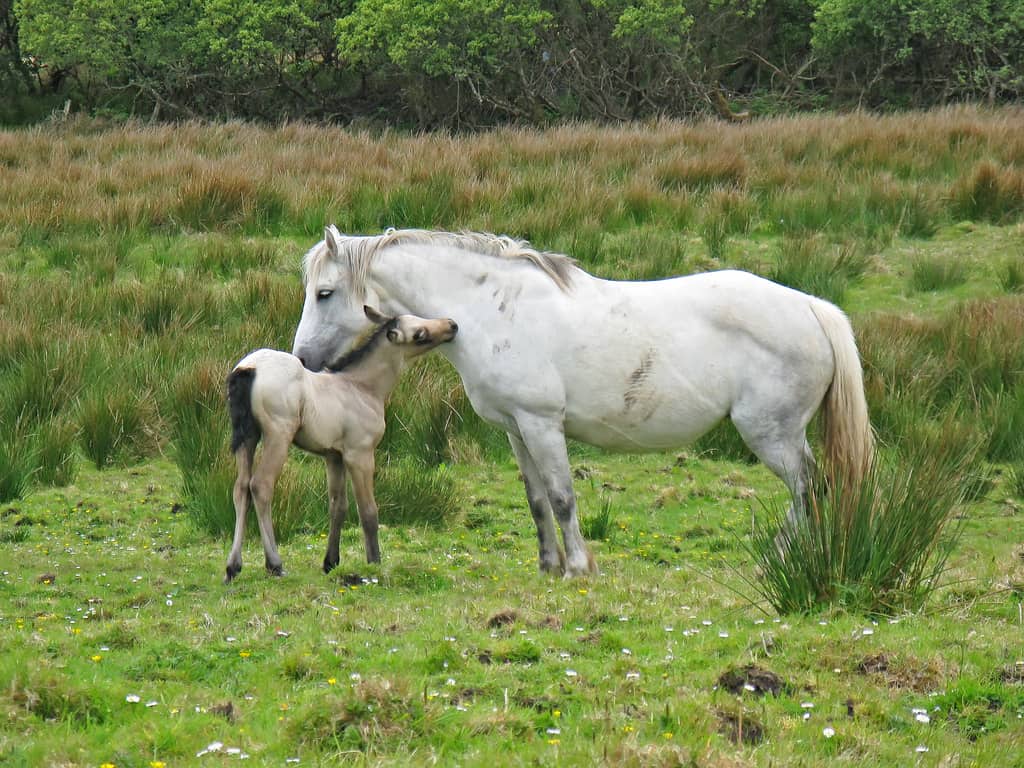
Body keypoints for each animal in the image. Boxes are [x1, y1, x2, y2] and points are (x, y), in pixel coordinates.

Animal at [224, 305, 459, 583]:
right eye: (419, 334)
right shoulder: (360, 454)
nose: (452, 325)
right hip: (278, 435)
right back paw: (274, 564)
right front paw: (374, 563)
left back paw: (233, 566)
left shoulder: (333, 455)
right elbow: (368, 511)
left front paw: (331, 562)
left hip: (247, 437)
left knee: (240, 488)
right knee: (260, 485)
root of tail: (249, 368)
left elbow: (338, 505)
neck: (361, 387)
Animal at [292, 227, 873, 578]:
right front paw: (548, 565)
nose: (303, 360)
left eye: (324, 293)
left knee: (808, 485)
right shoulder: (516, 430)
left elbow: (563, 496)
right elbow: (536, 501)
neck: (492, 310)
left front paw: (577, 566)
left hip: (772, 435)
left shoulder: (542, 425)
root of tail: (811, 307)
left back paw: (782, 556)